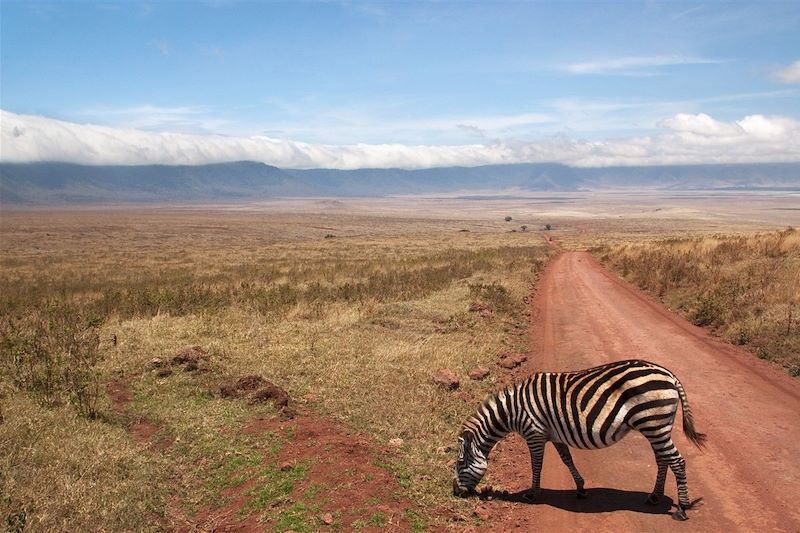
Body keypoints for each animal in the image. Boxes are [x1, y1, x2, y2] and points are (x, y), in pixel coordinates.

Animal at [454, 358, 708, 520]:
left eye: (459, 463)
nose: (456, 493)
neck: (513, 411)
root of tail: (669, 375)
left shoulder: (535, 433)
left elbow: (537, 465)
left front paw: (532, 493)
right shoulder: (554, 435)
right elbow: (567, 459)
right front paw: (581, 488)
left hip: (654, 422)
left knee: (677, 461)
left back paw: (682, 509)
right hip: (657, 426)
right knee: (663, 459)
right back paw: (654, 496)